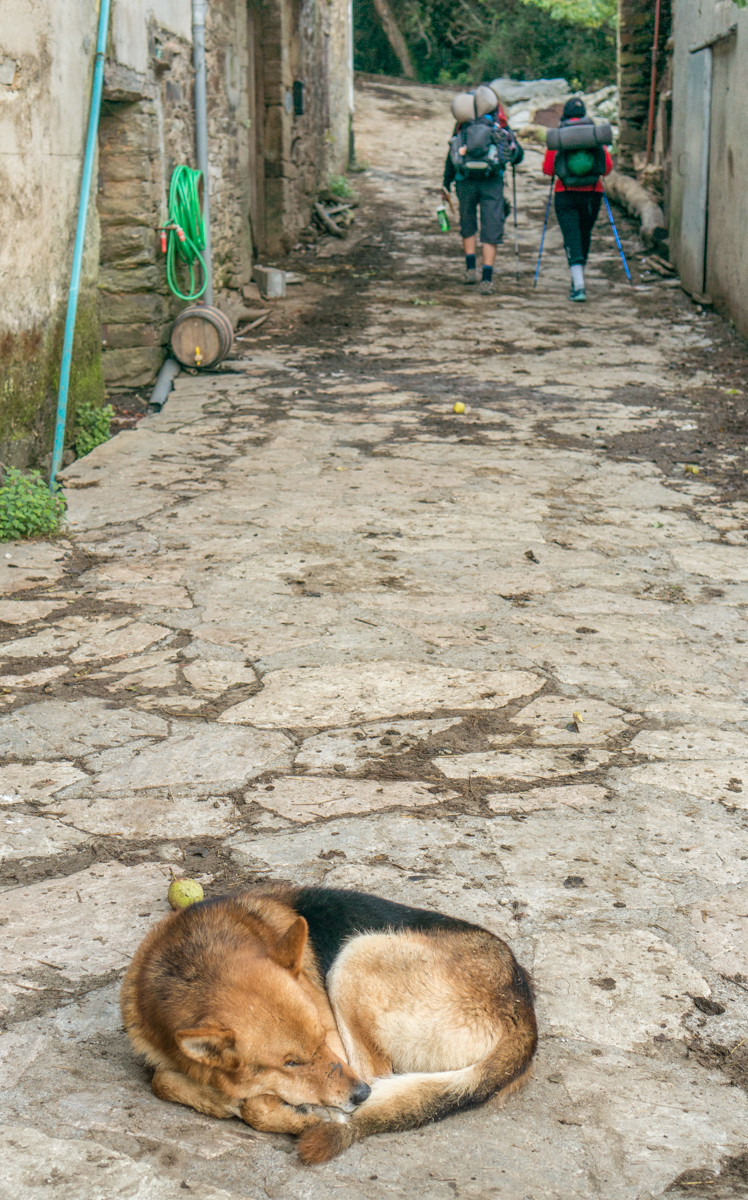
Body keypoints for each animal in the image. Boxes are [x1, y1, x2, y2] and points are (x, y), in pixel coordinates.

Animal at [123, 883, 540, 1161]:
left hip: (357, 954)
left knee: (374, 1077)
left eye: (322, 1037)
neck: (190, 964)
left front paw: (271, 1109)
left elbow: (253, 1103)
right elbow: (162, 1080)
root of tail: (523, 1012)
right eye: (291, 1062)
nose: (359, 1096)